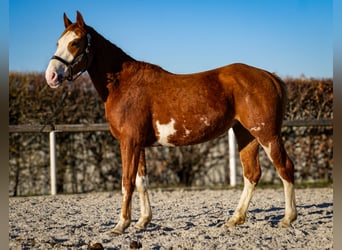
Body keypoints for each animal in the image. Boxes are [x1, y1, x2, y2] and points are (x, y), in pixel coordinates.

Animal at [44, 11, 296, 234]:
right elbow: (141, 182)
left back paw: (287, 219)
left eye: (75, 42)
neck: (123, 84)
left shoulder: (129, 142)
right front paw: (142, 222)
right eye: (58, 42)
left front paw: (121, 225)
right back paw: (235, 219)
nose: (51, 76)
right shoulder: (138, 144)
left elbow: (127, 181)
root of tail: (270, 77)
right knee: (251, 174)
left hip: (267, 135)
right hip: (246, 135)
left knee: (285, 167)